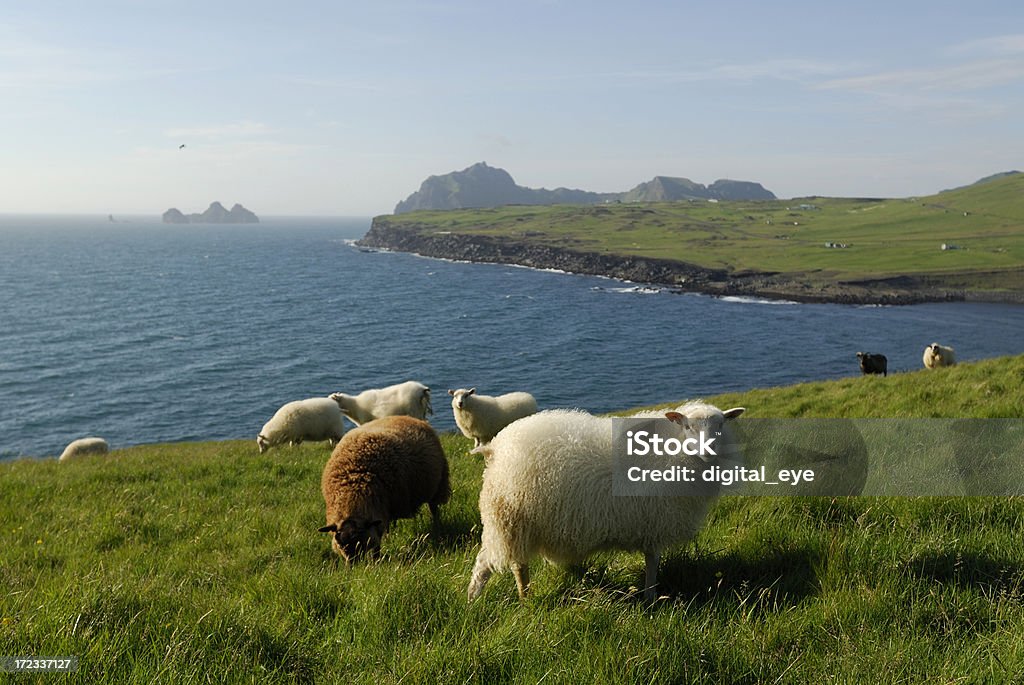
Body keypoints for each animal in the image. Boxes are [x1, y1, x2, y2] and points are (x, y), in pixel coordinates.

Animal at [317, 413, 450, 557]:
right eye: (340, 544)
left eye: (360, 540)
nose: (352, 563)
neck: (352, 485)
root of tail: (408, 417)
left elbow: (377, 542)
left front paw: (377, 559)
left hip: (439, 485)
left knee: (434, 508)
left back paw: (437, 526)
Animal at [466, 403, 745, 602]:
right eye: (688, 427)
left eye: (720, 426)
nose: (708, 450)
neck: (673, 451)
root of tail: (496, 447)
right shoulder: (655, 521)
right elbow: (653, 562)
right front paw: (651, 597)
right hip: (508, 517)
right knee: (488, 565)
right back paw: (479, 600)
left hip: (520, 522)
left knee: (517, 563)